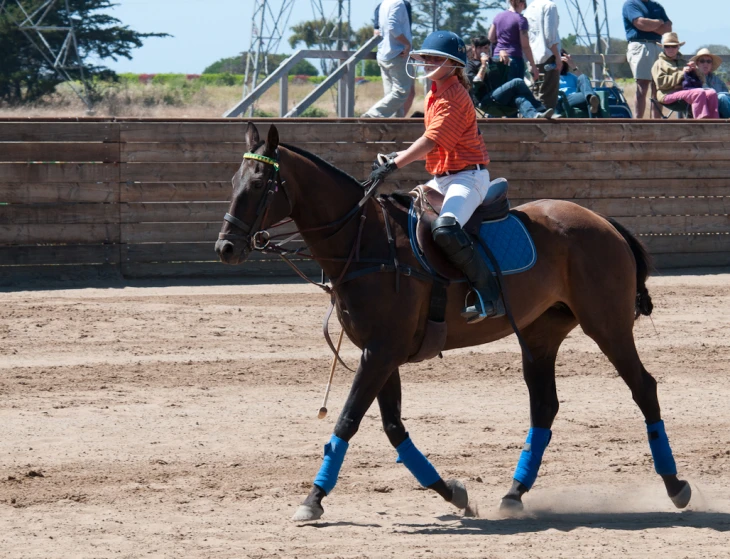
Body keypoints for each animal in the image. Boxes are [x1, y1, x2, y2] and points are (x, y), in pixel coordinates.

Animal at [215, 122, 688, 520]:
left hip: (606, 324)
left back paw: (675, 485)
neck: (364, 242)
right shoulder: (379, 352)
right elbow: (393, 428)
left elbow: (347, 420)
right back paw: (514, 493)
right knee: (544, 407)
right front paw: (453, 492)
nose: (226, 248)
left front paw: (313, 499)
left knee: (643, 388)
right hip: (540, 334)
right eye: (234, 182)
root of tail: (602, 220)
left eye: (258, 184)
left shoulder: (380, 352)